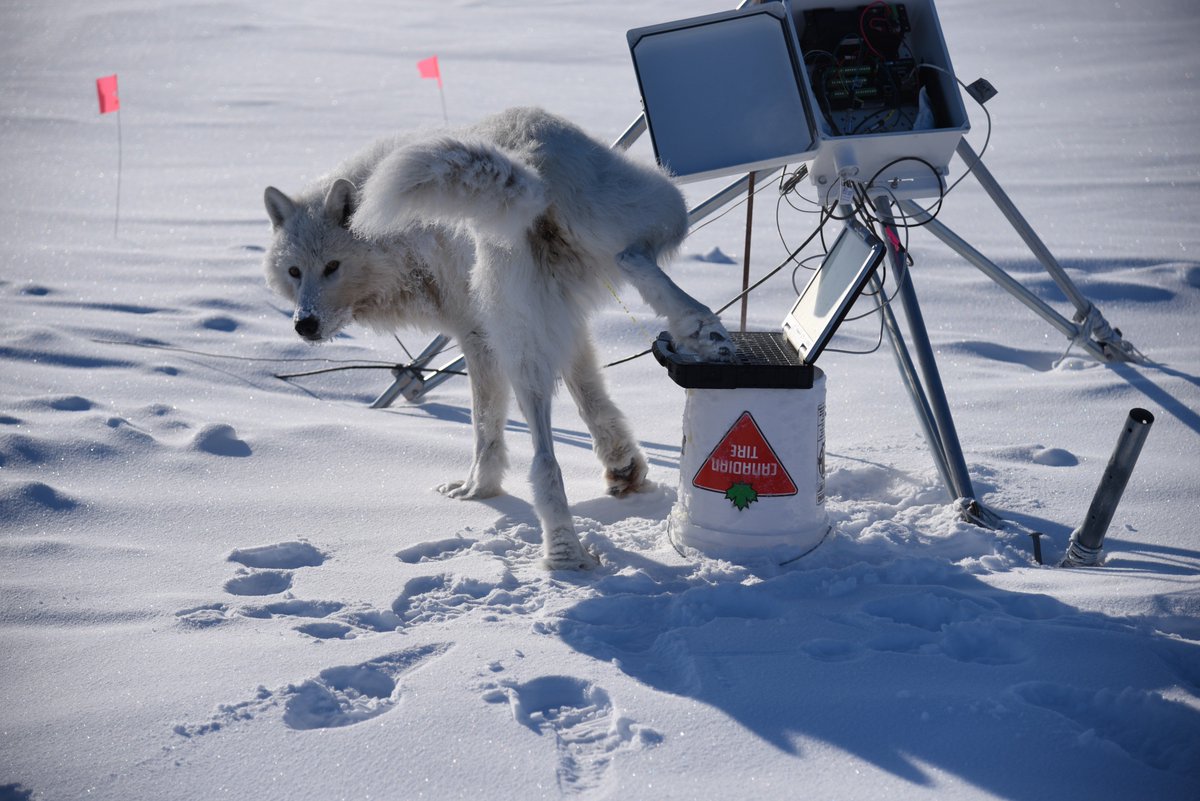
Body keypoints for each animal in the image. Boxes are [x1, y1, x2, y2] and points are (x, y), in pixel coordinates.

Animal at [263, 106, 733, 569]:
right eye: (294, 272)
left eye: (332, 267)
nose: (304, 325)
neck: (398, 244)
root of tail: (533, 167)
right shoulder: (569, 325)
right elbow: (592, 399)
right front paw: (623, 468)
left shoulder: (476, 337)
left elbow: (484, 424)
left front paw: (477, 491)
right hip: (655, 212)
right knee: (634, 258)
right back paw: (702, 329)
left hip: (516, 344)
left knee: (544, 456)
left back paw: (563, 550)